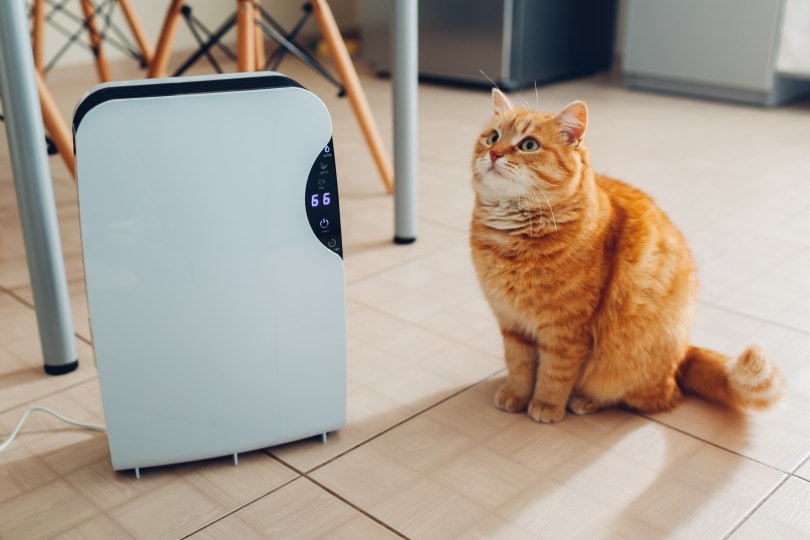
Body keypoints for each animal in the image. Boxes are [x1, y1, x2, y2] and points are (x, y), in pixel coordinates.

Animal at [470, 90, 780, 424]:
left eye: (528, 145)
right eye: (493, 137)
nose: (494, 153)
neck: (511, 240)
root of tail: (682, 353)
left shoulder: (565, 333)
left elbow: (554, 375)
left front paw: (545, 405)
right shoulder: (512, 323)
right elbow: (519, 366)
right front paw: (515, 395)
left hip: (628, 362)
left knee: (653, 398)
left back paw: (586, 400)